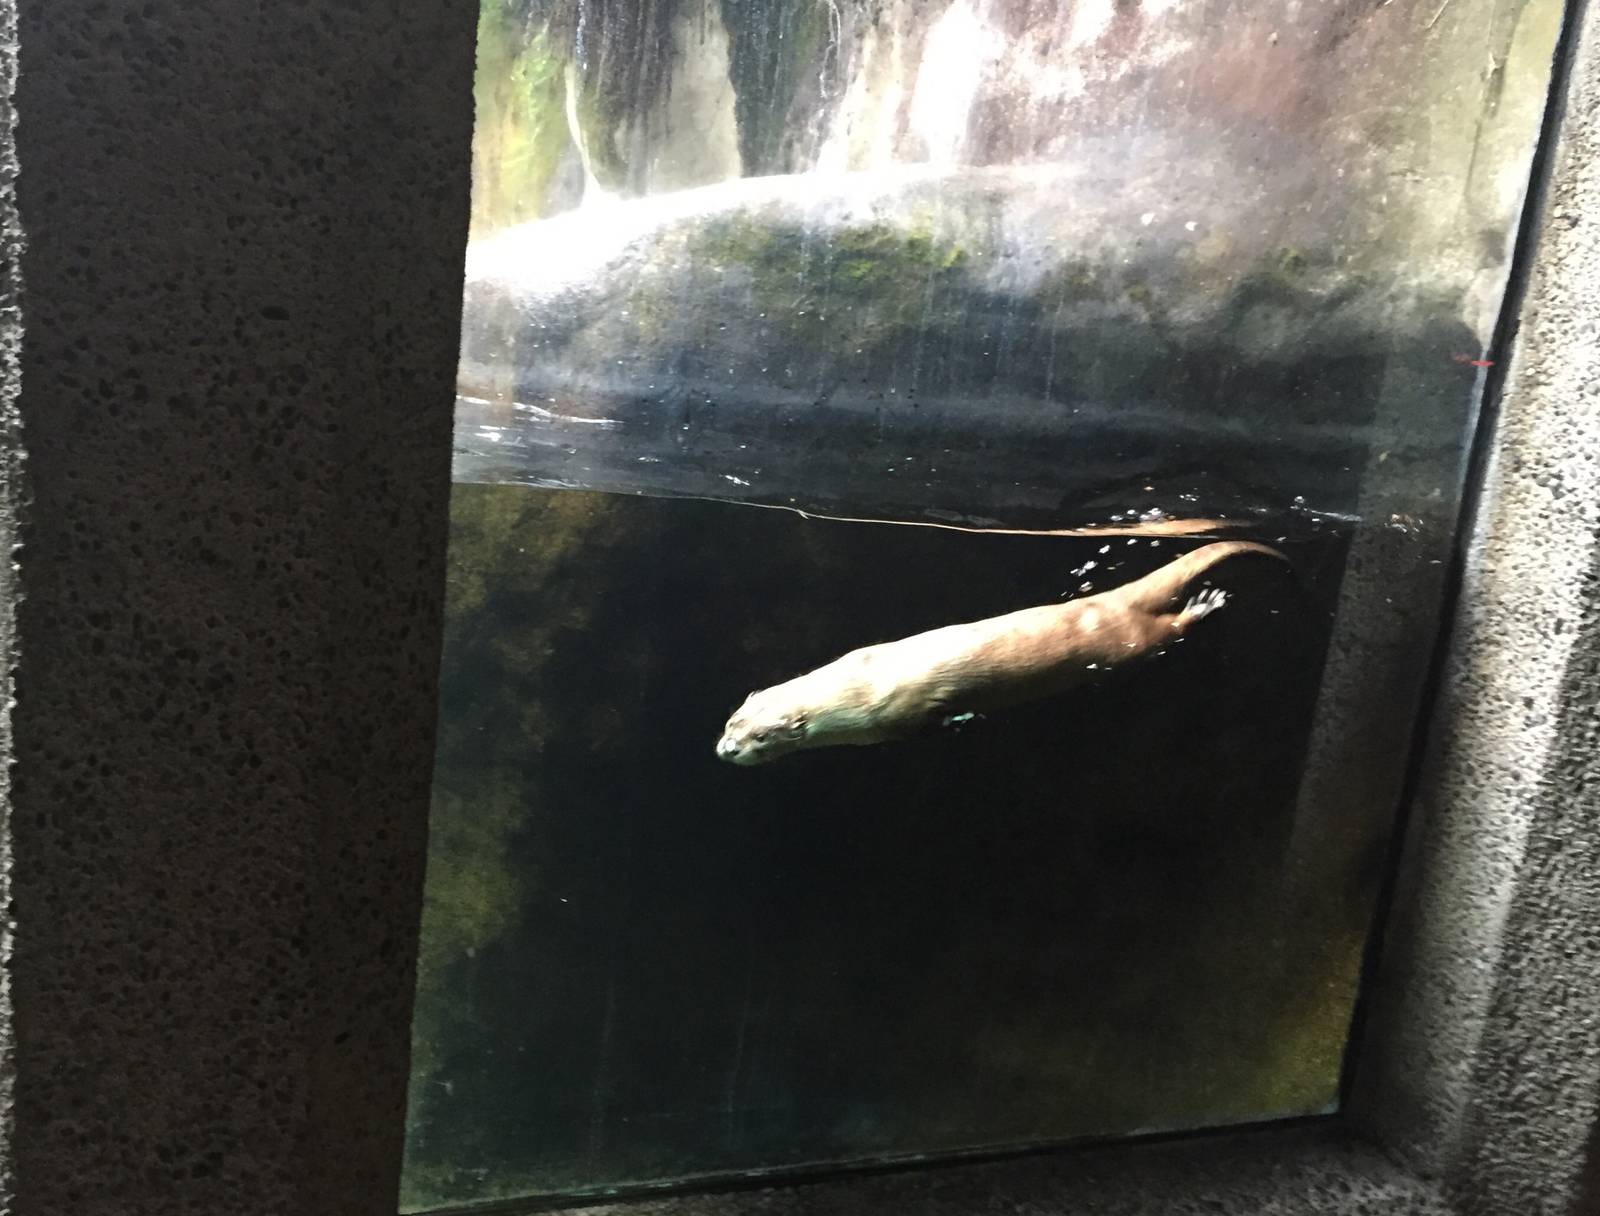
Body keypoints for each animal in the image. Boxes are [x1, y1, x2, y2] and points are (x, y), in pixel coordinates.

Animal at [715, 540, 1285, 765]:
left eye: (761, 737)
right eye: (731, 721)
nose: (726, 750)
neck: (860, 687)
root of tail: (1110, 599)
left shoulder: (899, 713)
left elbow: (933, 719)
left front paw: (963, 720)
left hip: (1126, 643)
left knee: (1164, 631)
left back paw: (1206, 605)